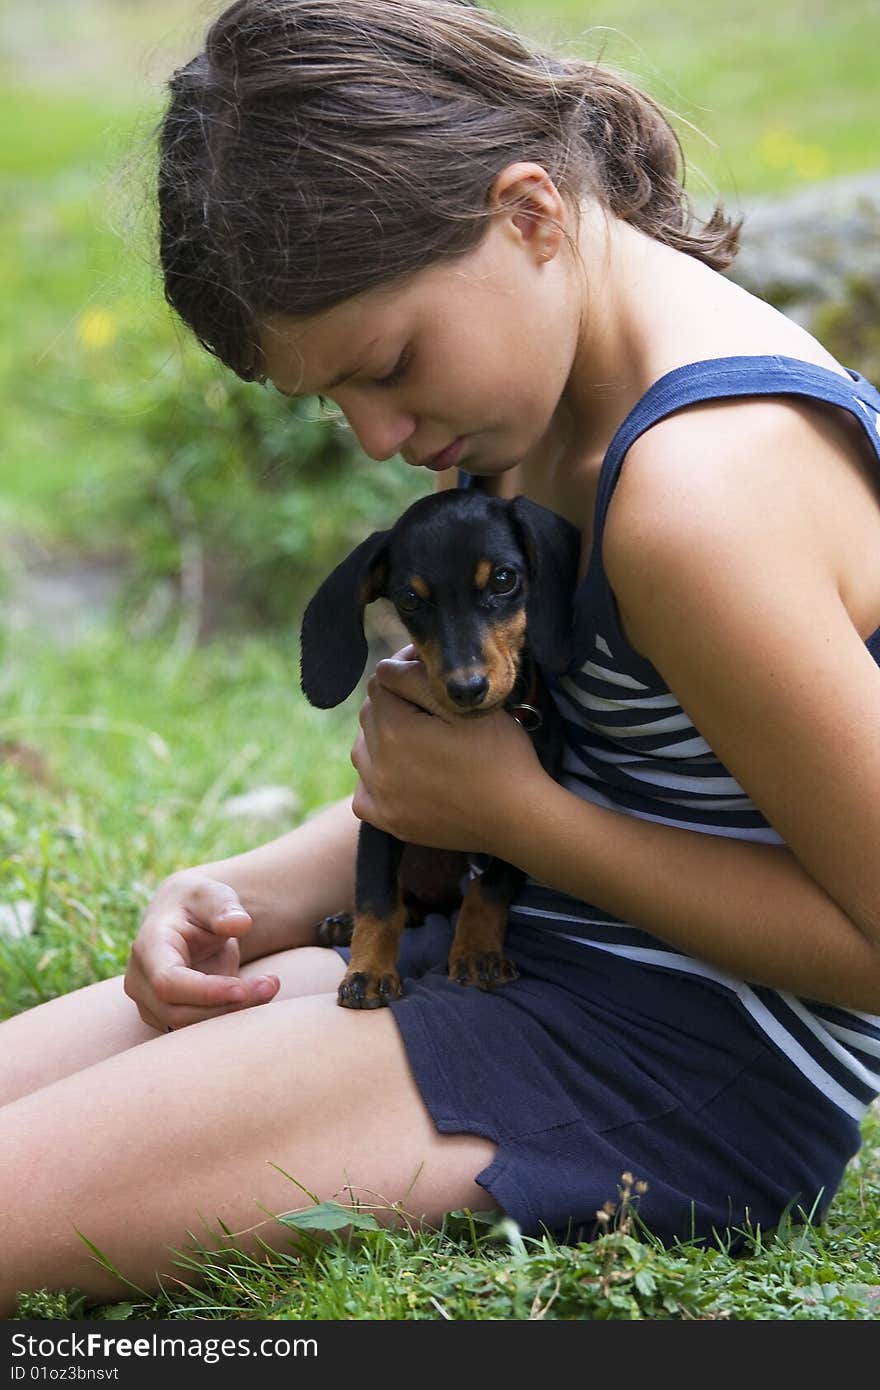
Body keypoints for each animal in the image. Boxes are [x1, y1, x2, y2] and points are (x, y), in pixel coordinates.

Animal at [298, 489, 581, 1011]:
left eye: (504, 579)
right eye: (410, 599)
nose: (467, 688)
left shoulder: (524, 824)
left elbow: (490, 889)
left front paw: (478, 952)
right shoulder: (381, 811)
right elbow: (377, 900)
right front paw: (369, 970)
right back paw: (344, 922)